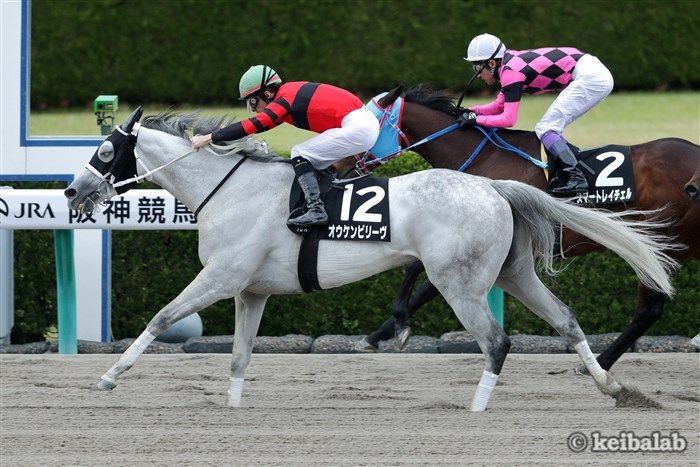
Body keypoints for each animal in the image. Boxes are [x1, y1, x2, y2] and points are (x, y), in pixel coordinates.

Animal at [63, 108, 679, 411]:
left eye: (103, 150)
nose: (72, 192)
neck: (229, 188)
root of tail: (496, 187)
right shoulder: (251, 289)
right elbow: (239, 355)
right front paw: (234, 406)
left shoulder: (221, 275)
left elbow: (162, 318)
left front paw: (108, 377)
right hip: (514, 273)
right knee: (567, 321)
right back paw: (612, 389)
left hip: (460, 283)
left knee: (496, 340)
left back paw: (477, 408)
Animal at [358, 85, 700, 371]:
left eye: (366, 123)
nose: (352, 165)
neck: (487, 159)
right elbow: (417, 270)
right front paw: (382, 332)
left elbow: (422, 277)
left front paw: (384, 331)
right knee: (651, 309)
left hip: (662, 239)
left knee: (648, 310)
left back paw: (598, 363)